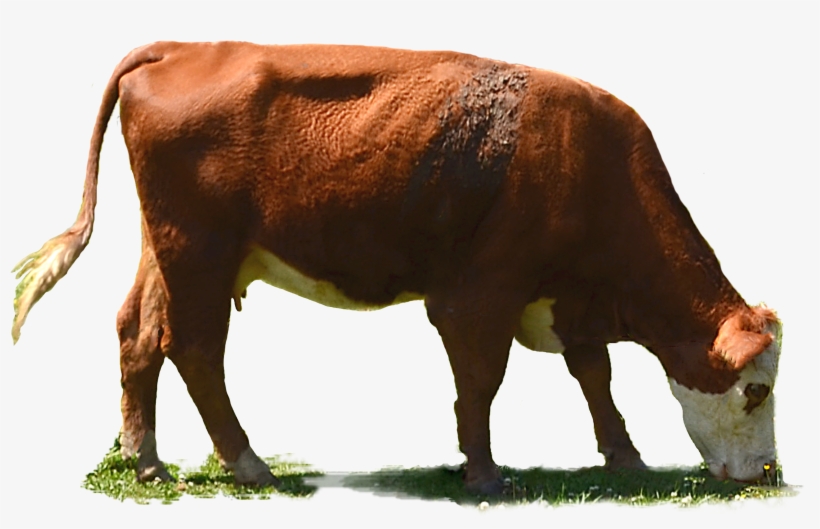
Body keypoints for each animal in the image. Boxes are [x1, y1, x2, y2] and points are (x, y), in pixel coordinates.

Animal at [11, 42, 781, 495]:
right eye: (755, 391)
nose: (769, 473)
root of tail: (185, 46)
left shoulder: (565, 299)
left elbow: (596, 376)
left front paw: (625, 456)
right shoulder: (478, 296)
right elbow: (480, 384)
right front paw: (484, 473)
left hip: (166, 248)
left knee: (137, 336)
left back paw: (147, 460)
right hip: (200, 250)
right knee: (195, 350)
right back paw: (249, 464)